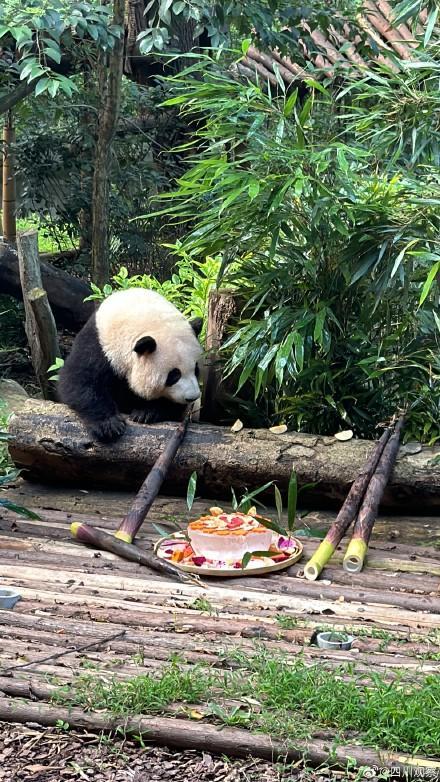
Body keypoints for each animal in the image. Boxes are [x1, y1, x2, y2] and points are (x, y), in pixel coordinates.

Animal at [57, 290, 204, 444]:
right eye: (174, 375)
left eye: (196, 370)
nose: (192, 397)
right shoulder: (96, 344)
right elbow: (79, 380)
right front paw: (109, 426)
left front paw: (146, 412)